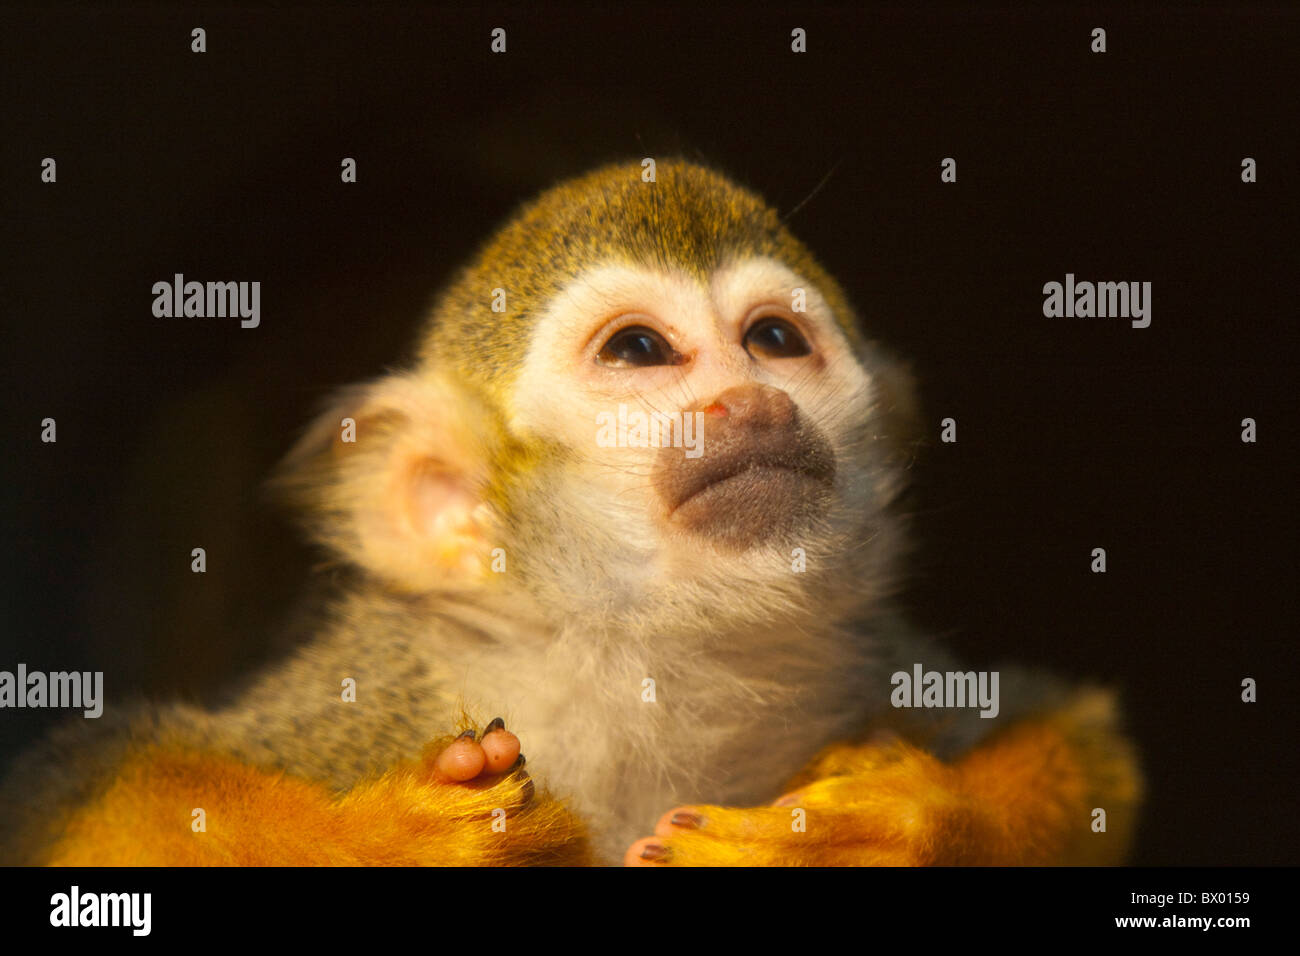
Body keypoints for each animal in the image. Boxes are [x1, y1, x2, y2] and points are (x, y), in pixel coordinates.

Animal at [0, 158, 1138, 868]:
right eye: (639, 350)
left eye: (773, 339)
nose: (752, 401)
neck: (636, 658)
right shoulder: (383, 691)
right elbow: (76, 787)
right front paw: (382, 845)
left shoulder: (862, 672)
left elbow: (1082, 748)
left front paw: (899, 833)